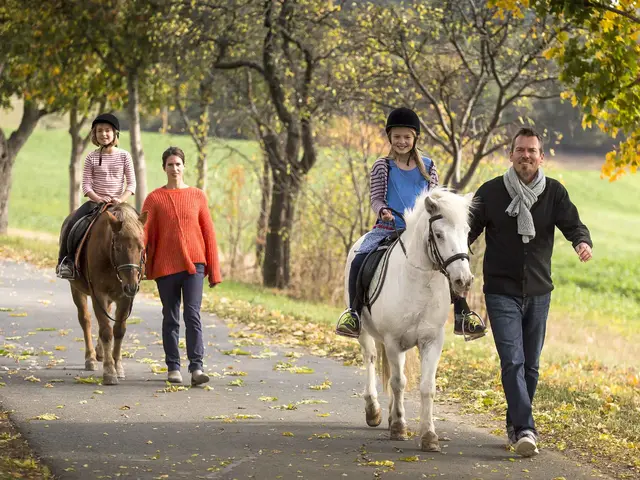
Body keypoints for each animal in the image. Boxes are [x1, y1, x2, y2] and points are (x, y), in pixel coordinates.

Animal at [61, 203, 148, 386]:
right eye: (118, 248)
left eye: (141, 248)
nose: (132, 286)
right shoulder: (98, 295)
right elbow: (107, 331)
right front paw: (109, 371)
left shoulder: (125, 298)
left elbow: (119, 330)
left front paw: (118, 366)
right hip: (77, 290)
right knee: (85, 320)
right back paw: (91, 358)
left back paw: (100, 353)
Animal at [344, 187, 476, 450]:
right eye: (439, 234)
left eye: (467, 232)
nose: (463, 281)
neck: (420, 281)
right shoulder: (393, 340)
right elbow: (398, 382)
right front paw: (398, 427)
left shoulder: (431, 341)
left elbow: (426, 387)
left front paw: (429, 436)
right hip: (365, 333)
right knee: (370, 358)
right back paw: (374, 411)